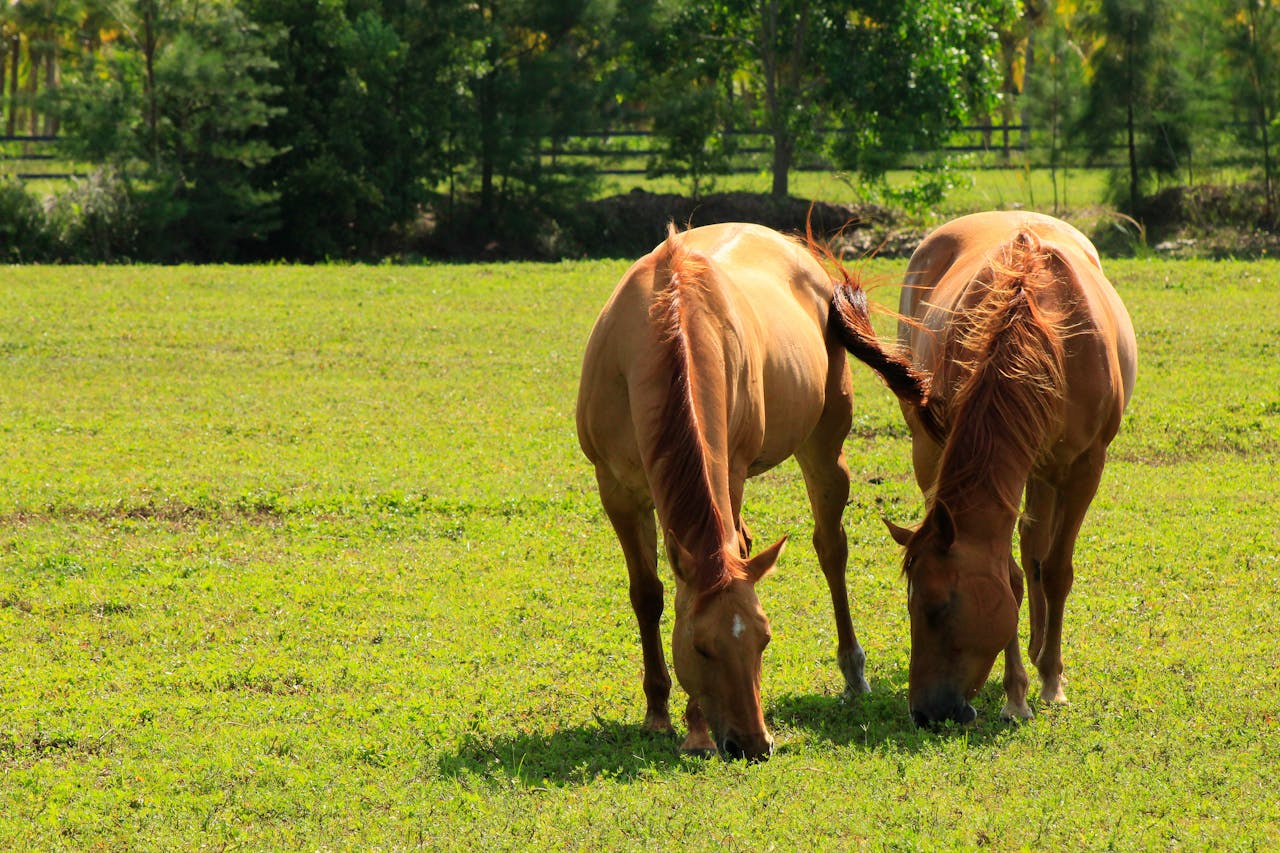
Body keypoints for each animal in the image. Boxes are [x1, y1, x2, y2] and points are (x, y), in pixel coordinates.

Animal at [577, 222, 928, 760]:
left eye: (764, 640)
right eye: (700, 647)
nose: (752, 743)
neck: (663, 322)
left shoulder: (730, 472)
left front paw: (696, 729)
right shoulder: (615, 489)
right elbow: (648, 594)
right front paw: (658, 713)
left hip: (823, 448)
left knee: (831, 549)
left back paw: (853, 672)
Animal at [885, 210, 1137, 726]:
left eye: (938, 608)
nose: (924, 713)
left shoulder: (1085, 468)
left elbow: (1055, 569)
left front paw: (1052, 682)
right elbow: (1015, 577)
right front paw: (1016, 693)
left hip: (1046, 470)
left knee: (1038, 550)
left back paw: (1044, 652)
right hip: (936, 450)